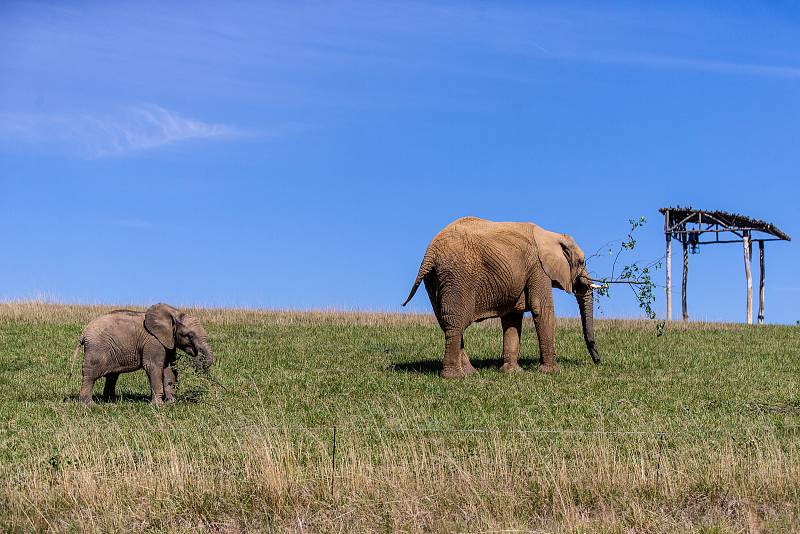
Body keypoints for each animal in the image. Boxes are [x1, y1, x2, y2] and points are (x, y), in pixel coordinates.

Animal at [70, 302, 214, 406]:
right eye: (190, 335)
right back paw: (90, 405)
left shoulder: (167, 341)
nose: (198, 360)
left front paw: (171, 403)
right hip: (97, 348)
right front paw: (158, 406)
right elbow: (153, 367)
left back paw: (111, 403)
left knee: (112, 376)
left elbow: (169, 369)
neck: (173, 312)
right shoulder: (153, 341)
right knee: (91, 375)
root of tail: (84, 333)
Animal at [406, 218, 600, 382]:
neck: (551, 235)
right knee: (456, 322)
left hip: (434, 280)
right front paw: (552, 372)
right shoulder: (538, 268)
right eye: (581, 262)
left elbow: (512, 317)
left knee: (446, 322)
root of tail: (430, 253)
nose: (597, 361)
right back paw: (455, 377)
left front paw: (512, 373)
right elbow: (542, 309)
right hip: (457, 276)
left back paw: (470, 373)